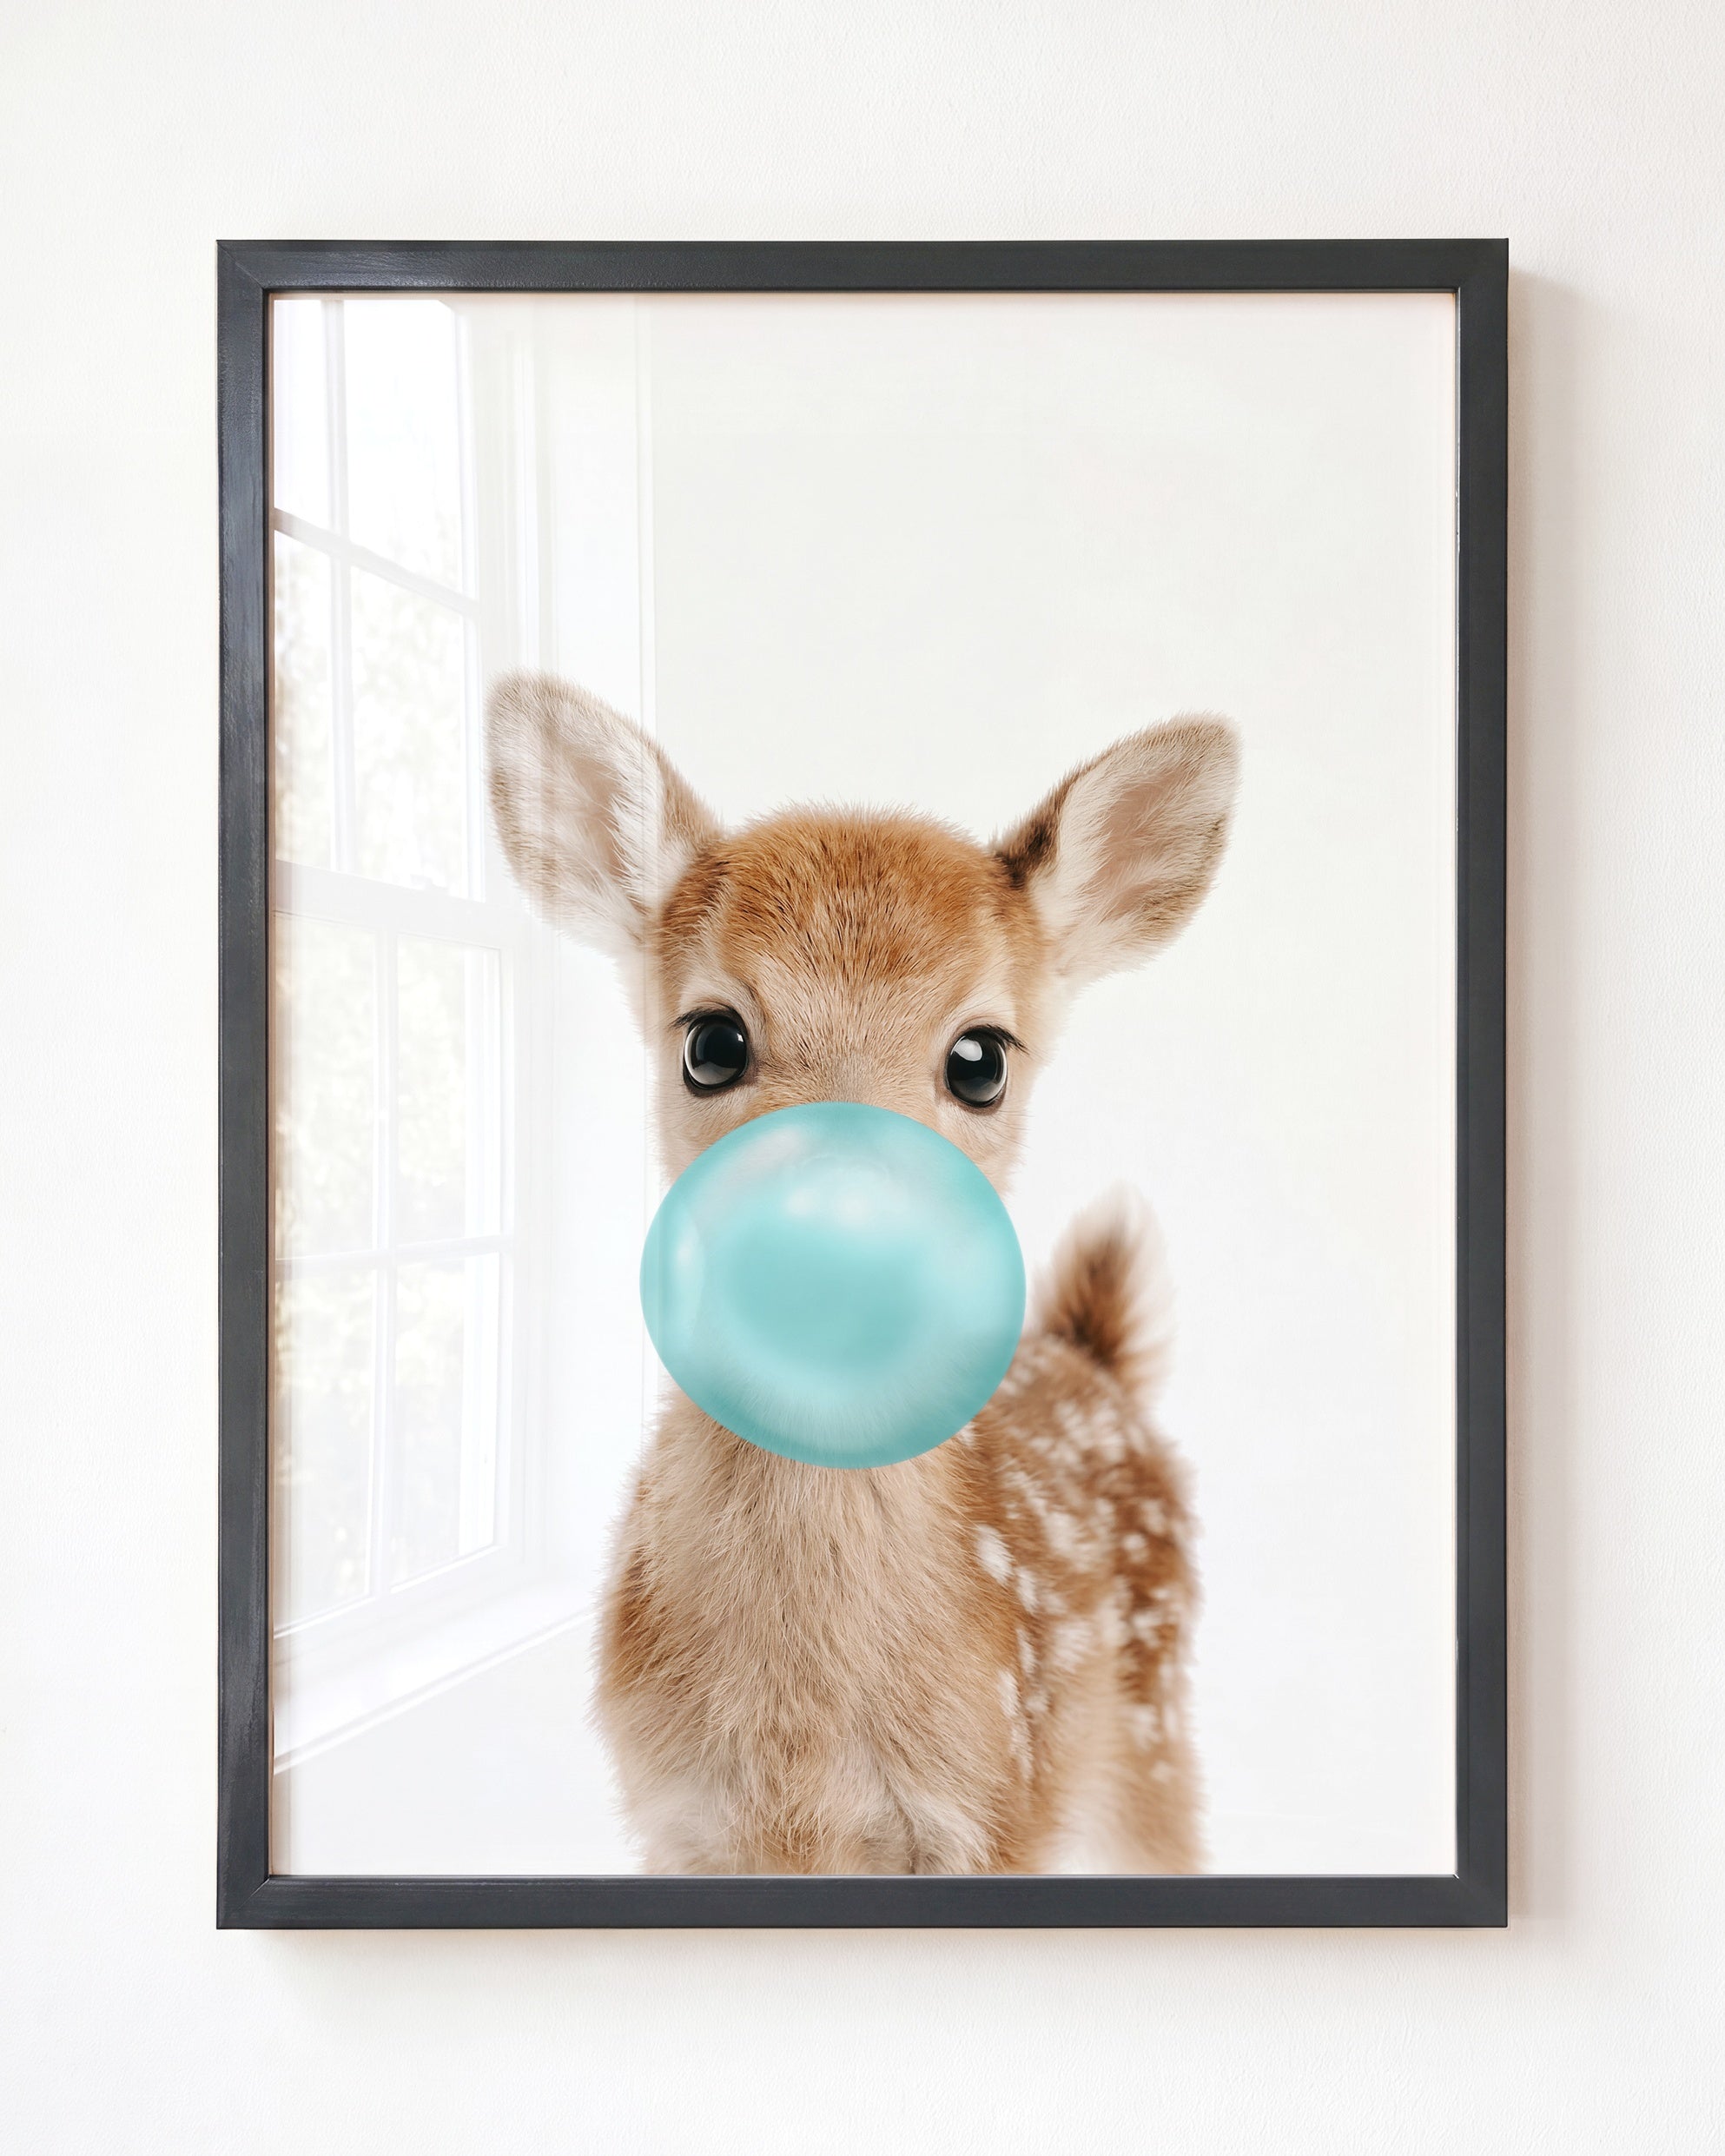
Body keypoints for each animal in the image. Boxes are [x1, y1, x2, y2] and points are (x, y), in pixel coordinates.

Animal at [486, 671, 1239, 1875]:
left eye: (981, 1059)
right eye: (710, 1042)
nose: (836, 1243)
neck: (801, 1749)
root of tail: (1096, 1360)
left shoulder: (996, 1807)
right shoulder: (677, 1821)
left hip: (1150, 1734)